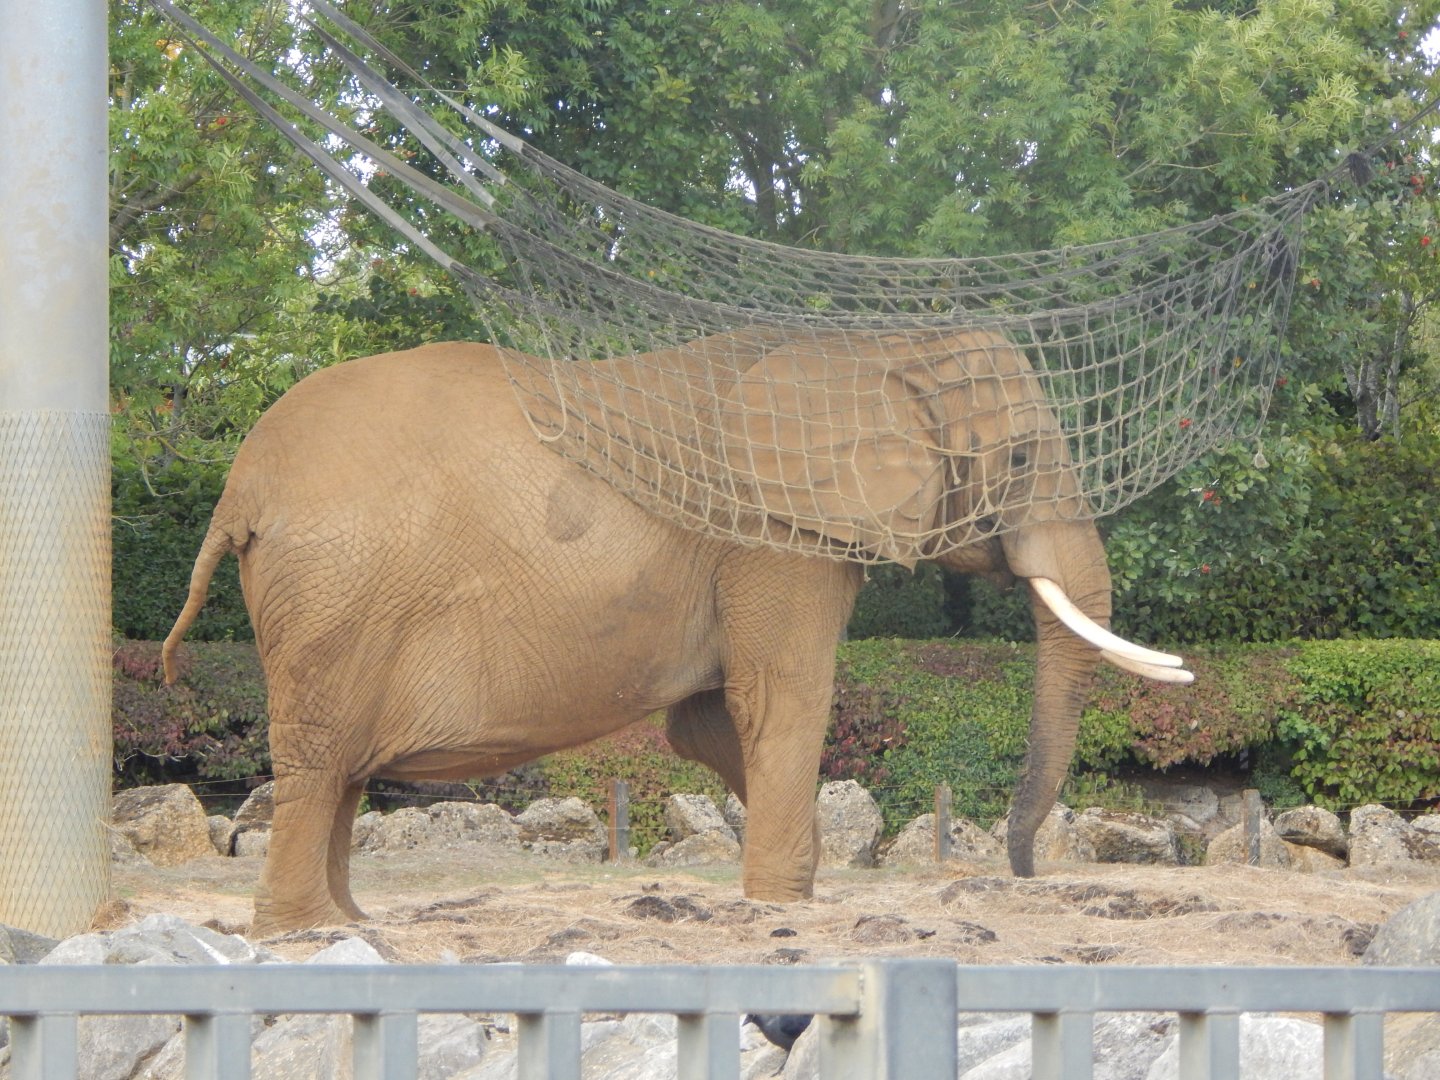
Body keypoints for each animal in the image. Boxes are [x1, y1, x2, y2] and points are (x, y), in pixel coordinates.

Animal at [163, 329, 1189, 935]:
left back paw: (351, 926)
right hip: (333, 595)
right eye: (1017, 460)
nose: (1023, 874)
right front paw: (785, 906)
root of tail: (240, 487)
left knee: (336, 767)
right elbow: (783, 701)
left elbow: (709, 724)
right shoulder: (778, 536)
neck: (872, 347)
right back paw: (307, 933)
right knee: (319, 758)